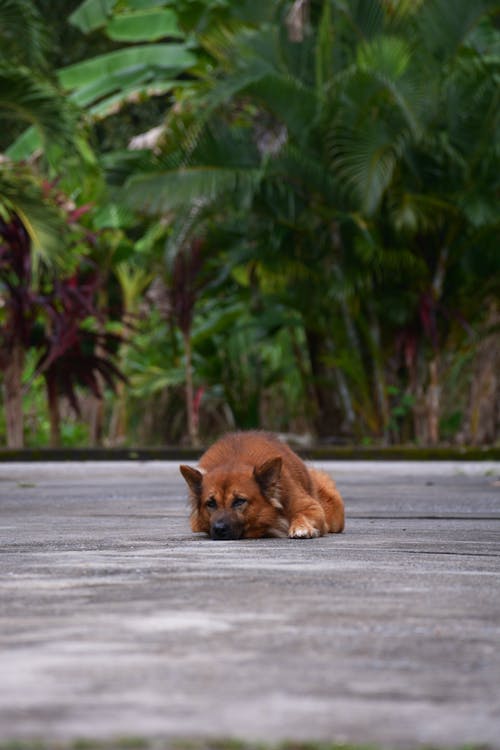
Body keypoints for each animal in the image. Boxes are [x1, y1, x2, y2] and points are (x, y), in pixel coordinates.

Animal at [180, 432, 344, 544]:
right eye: (211, 503)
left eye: (239, 501)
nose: (219, 529)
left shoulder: (312, 507)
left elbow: (302, 513)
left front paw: (300, 527)